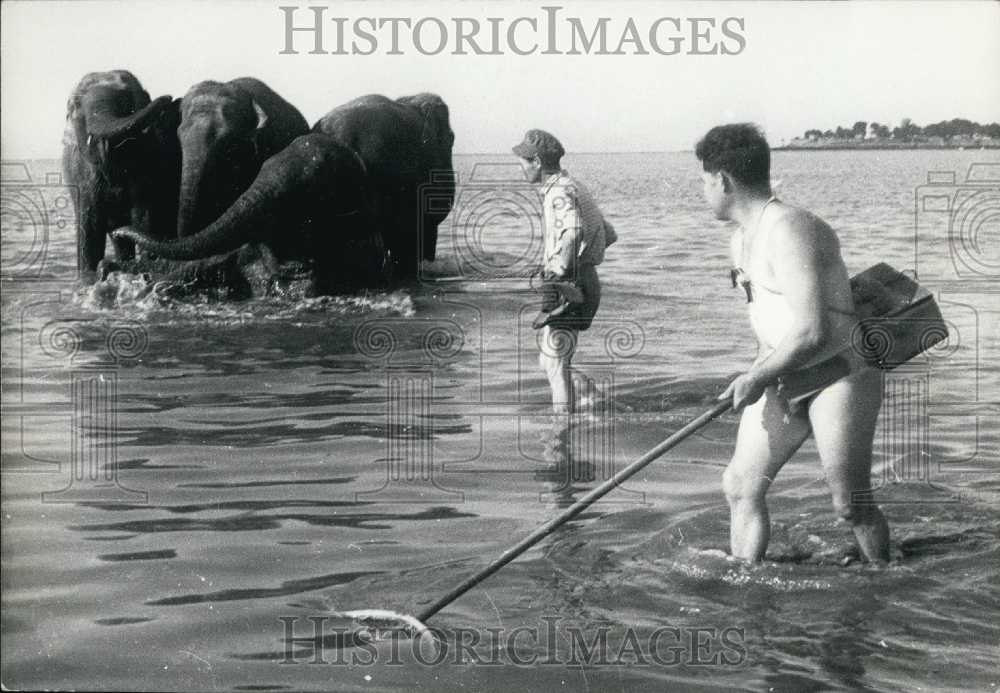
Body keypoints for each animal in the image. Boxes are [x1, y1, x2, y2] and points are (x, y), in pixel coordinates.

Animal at [62, 69, 182, 278]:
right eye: (75, 107)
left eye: (124, 101)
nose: (169, 98)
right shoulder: (82, 174)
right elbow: (90, 230)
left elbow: (143, 219)